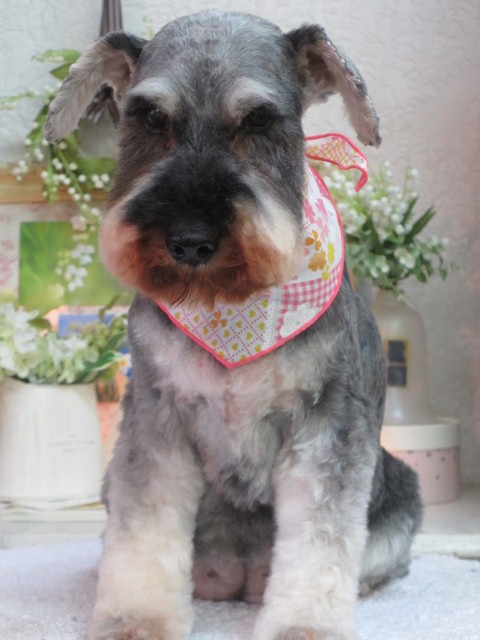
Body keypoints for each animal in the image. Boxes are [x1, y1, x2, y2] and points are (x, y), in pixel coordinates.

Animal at [46, 10, 422, 640]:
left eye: (259, 121)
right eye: (150, 118)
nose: (190, 240)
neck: (231, 305)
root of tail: (242, 574)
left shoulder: (329, 425)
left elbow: (321, 540)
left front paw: (304, 627)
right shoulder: (156, 418)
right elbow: (144, 524)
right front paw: (136, 617)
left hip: (398, 491)